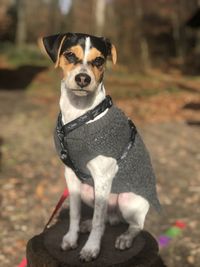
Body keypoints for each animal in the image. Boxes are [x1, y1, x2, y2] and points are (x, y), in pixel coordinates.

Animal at [39, 32, 160, 262]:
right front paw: (71, 238)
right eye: (70, 55)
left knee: (134, 224)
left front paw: (91, 248)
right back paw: (88, 226)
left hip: (127, 200)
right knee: (107, 218)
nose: (83, 79)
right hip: (89, 191)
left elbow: (97, 221)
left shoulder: (103, 177)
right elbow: (75, 213)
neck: (80, 116)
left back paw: (125, 238)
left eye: (99, 60)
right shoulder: (71, 175)